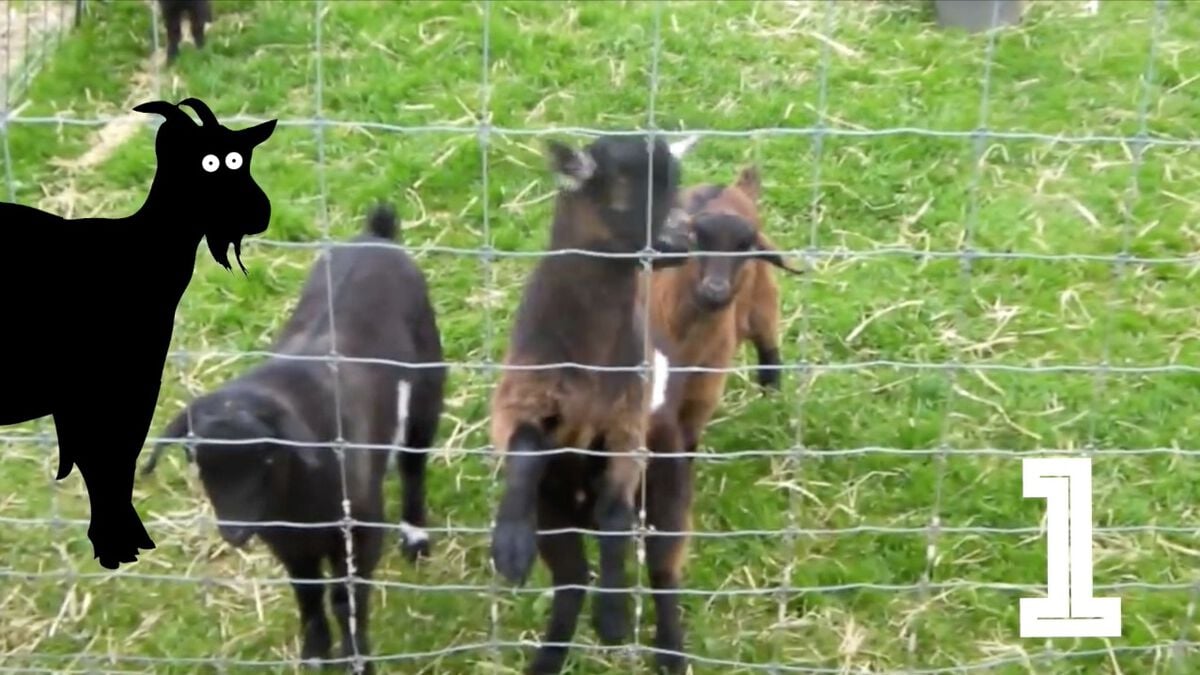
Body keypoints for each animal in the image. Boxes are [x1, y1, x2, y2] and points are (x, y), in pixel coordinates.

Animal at [142, 204, 446, 672]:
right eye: (196, 457)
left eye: (268, 457)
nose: (234, 532)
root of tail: (375, 237)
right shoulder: (287, 541)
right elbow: (308, 594)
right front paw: (316, 654)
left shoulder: (358, 530)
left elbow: (347, 598)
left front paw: (357, 659)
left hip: (426, 390)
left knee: (413, 464)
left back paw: (415, 538)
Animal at [488, 133, 698, 674]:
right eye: (621, 193)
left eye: (675, 185)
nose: (682, 243)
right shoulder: (521, 395)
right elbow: (524, 446)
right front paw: (509, 549)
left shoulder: (628, 424)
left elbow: (616, 515)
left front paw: (614, 620)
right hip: (553, 514)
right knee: (571, 582)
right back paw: (546, 661)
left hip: (669, 493)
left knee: (662, 570)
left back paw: (670, 653)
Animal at [647, 165, 802, 457]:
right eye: (695, 241)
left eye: (747, 248)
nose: (715, 290)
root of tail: (734, 187)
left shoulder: (701, 400)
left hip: (764, 303)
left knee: (769, 354)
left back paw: (771, 403)